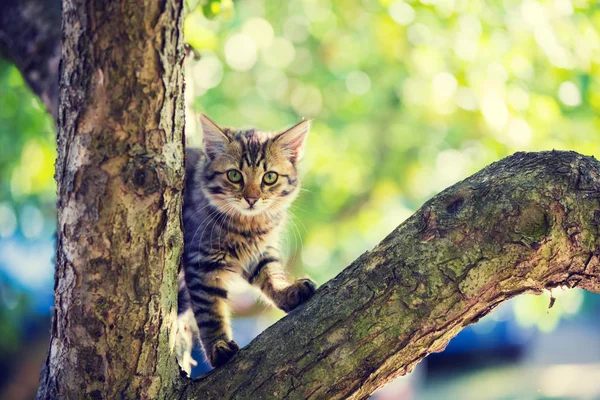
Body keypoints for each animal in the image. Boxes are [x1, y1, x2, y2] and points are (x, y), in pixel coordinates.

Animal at [176, 114, 316, 374]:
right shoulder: (202, 262)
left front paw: (287, 291)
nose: (252, 199)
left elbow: (271, 275)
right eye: (234, 176)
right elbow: (211, 313)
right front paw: (218, 346)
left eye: (269, 177)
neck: (247, 227)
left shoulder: (260, 253)